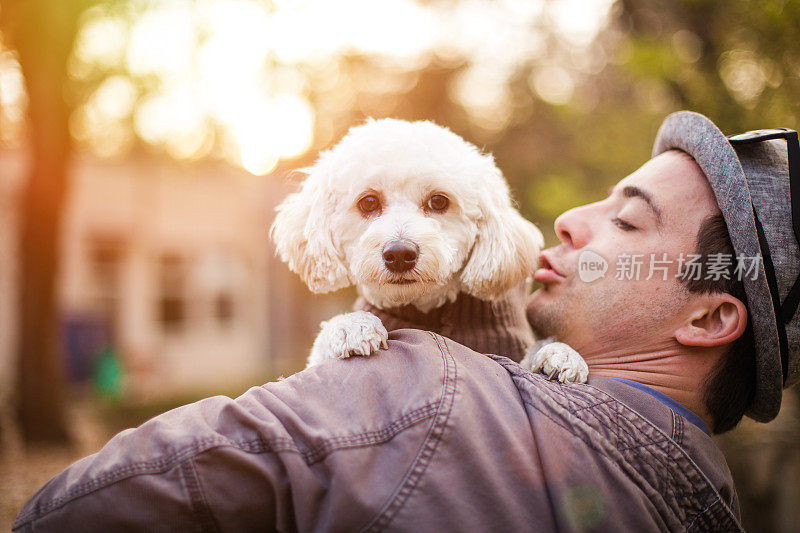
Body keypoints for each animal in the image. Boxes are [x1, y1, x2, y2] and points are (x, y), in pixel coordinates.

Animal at [270, 118, 588, 380]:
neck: (427, 307)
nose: (400, 254)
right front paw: (351, 325)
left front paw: (560, 353)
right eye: (368, 202)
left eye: (438, 201)